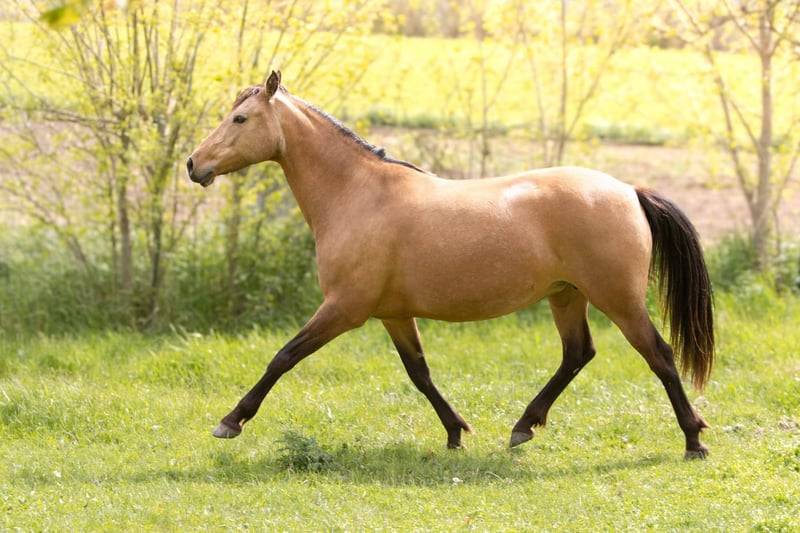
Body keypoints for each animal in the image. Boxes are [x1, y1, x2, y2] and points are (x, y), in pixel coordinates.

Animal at [187, 71, 714, 459]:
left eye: (240, 118)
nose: (194, 165)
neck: (358, 194)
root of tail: (627, 190)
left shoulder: (344, 308)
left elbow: (284, 355)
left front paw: (230, 421)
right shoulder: (394, 314)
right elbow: (419, 373)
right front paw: (456, 431)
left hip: (618, 299)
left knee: (659, 355)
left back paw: (693, 440)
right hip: (567, 295)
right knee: (577, 354)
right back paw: (523, 427)